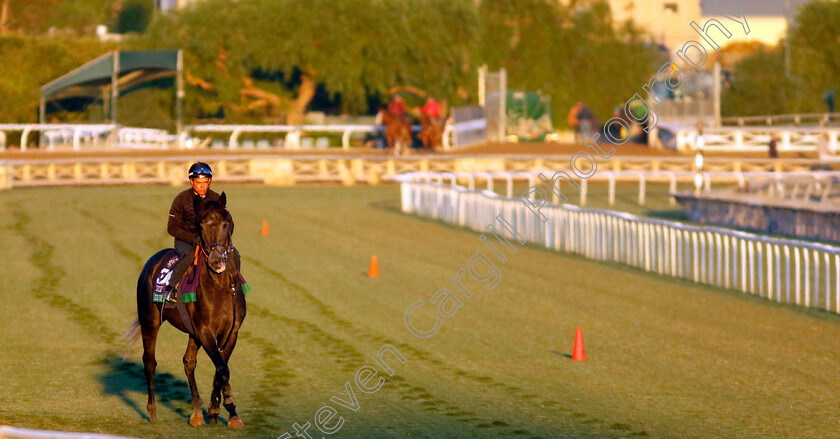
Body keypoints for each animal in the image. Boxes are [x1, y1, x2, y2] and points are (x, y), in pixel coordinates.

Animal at [125, 194, 246, 428]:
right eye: (202, 225)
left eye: (225, 224)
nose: (216, 261)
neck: (221, 287)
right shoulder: (206, 331)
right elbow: (222, 368)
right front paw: (231, 410)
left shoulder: (230, 333)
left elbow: (220, 368)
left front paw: (215, 410)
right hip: (150, 320)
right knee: (150, 362)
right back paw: (153, 413)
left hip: (192, 332)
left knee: (188, 362)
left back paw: (197, 413)